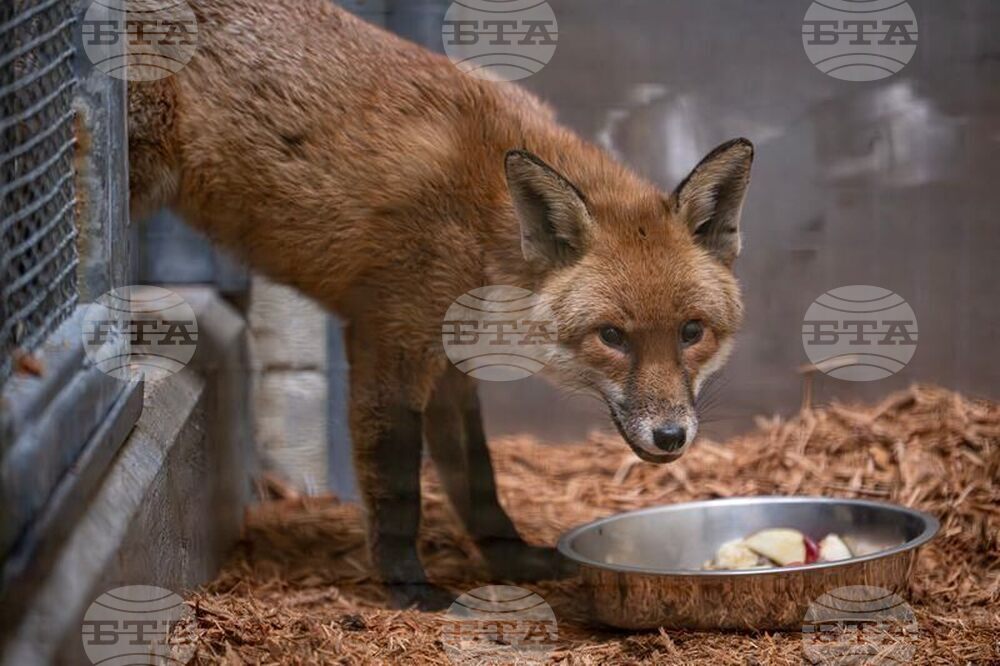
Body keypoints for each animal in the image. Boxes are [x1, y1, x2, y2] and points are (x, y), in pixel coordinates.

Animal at [127, 0, 753, 609]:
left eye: (692, 332)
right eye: (612, 337)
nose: (671, 436)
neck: (483, 232)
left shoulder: (453, 365)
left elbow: (478, 479)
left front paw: (513, 560)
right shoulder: (388, 339)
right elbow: (397, 483)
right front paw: (408, 586)